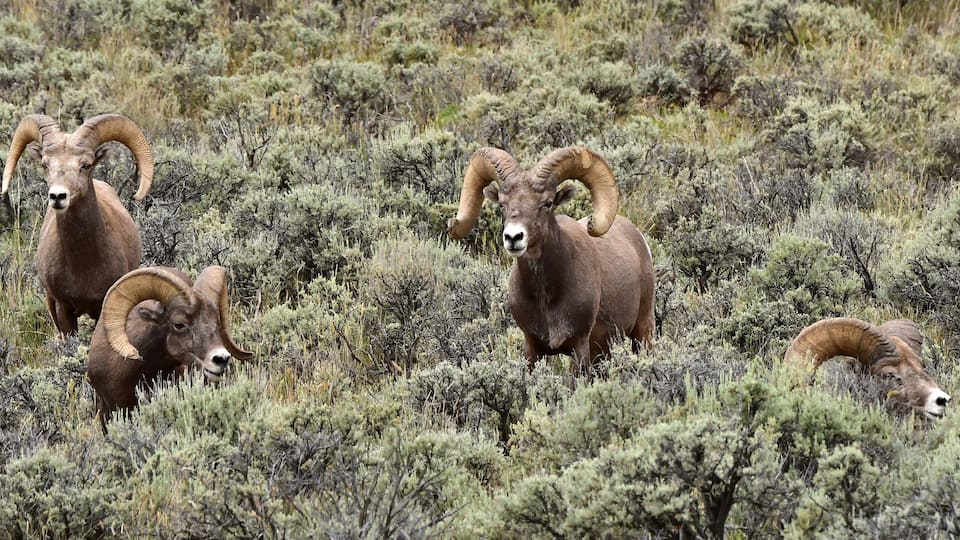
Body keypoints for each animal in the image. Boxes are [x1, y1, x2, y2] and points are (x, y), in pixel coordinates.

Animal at [2, 113, 154, 335]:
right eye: (45, 165)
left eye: (86, 165)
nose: (58, 196)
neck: (83, 265)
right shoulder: (62, 308)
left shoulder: (103, 306)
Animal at [448, 146, 655, 375]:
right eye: (502, 204)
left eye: (547, 203)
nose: (513, 237)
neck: (546, 296)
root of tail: (638, 237)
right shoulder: (532, 347)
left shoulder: (579, 346)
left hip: (643, 330)